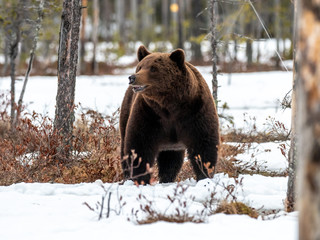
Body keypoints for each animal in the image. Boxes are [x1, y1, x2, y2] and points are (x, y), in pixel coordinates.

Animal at [120, 46, 220, 185]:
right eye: (140, 67)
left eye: (153, 68)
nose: (132, 78)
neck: (170, 104)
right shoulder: (149, 113)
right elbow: (139, 144)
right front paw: (140, 178)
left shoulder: (196, 112)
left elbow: (204, 144)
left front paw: (204, 176)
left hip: (172, 144)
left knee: (171, 160)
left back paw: (167, 178)